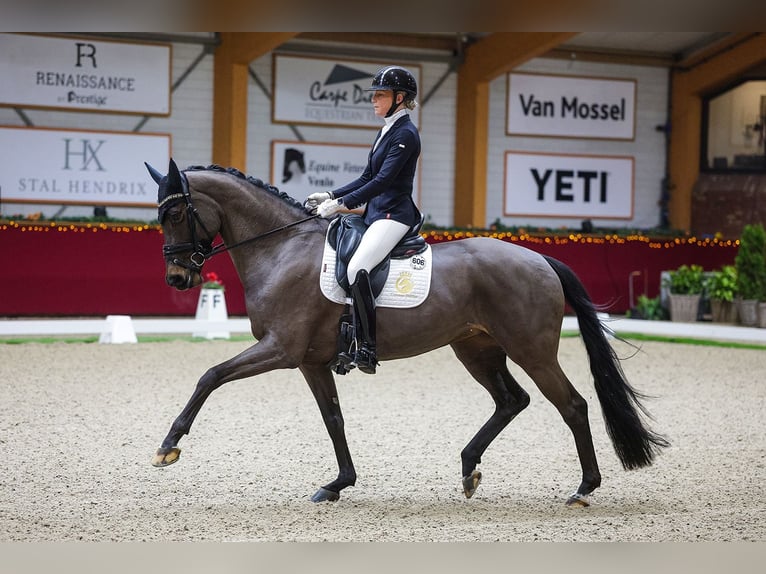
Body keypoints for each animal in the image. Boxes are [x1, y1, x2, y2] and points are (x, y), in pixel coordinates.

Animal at [145, 159, 669, 506]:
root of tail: (539, 257)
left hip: (532, 351)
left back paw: (583, 488)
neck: (282, 248)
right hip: (476, 349)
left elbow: (211, 375)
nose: (176, 278)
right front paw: (338, 484)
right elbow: (333, 419)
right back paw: (468, 469)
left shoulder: (279, 348)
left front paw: (168, 447)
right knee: (511, 400)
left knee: (573, 405)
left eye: (176, 214)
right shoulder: (309, 360)